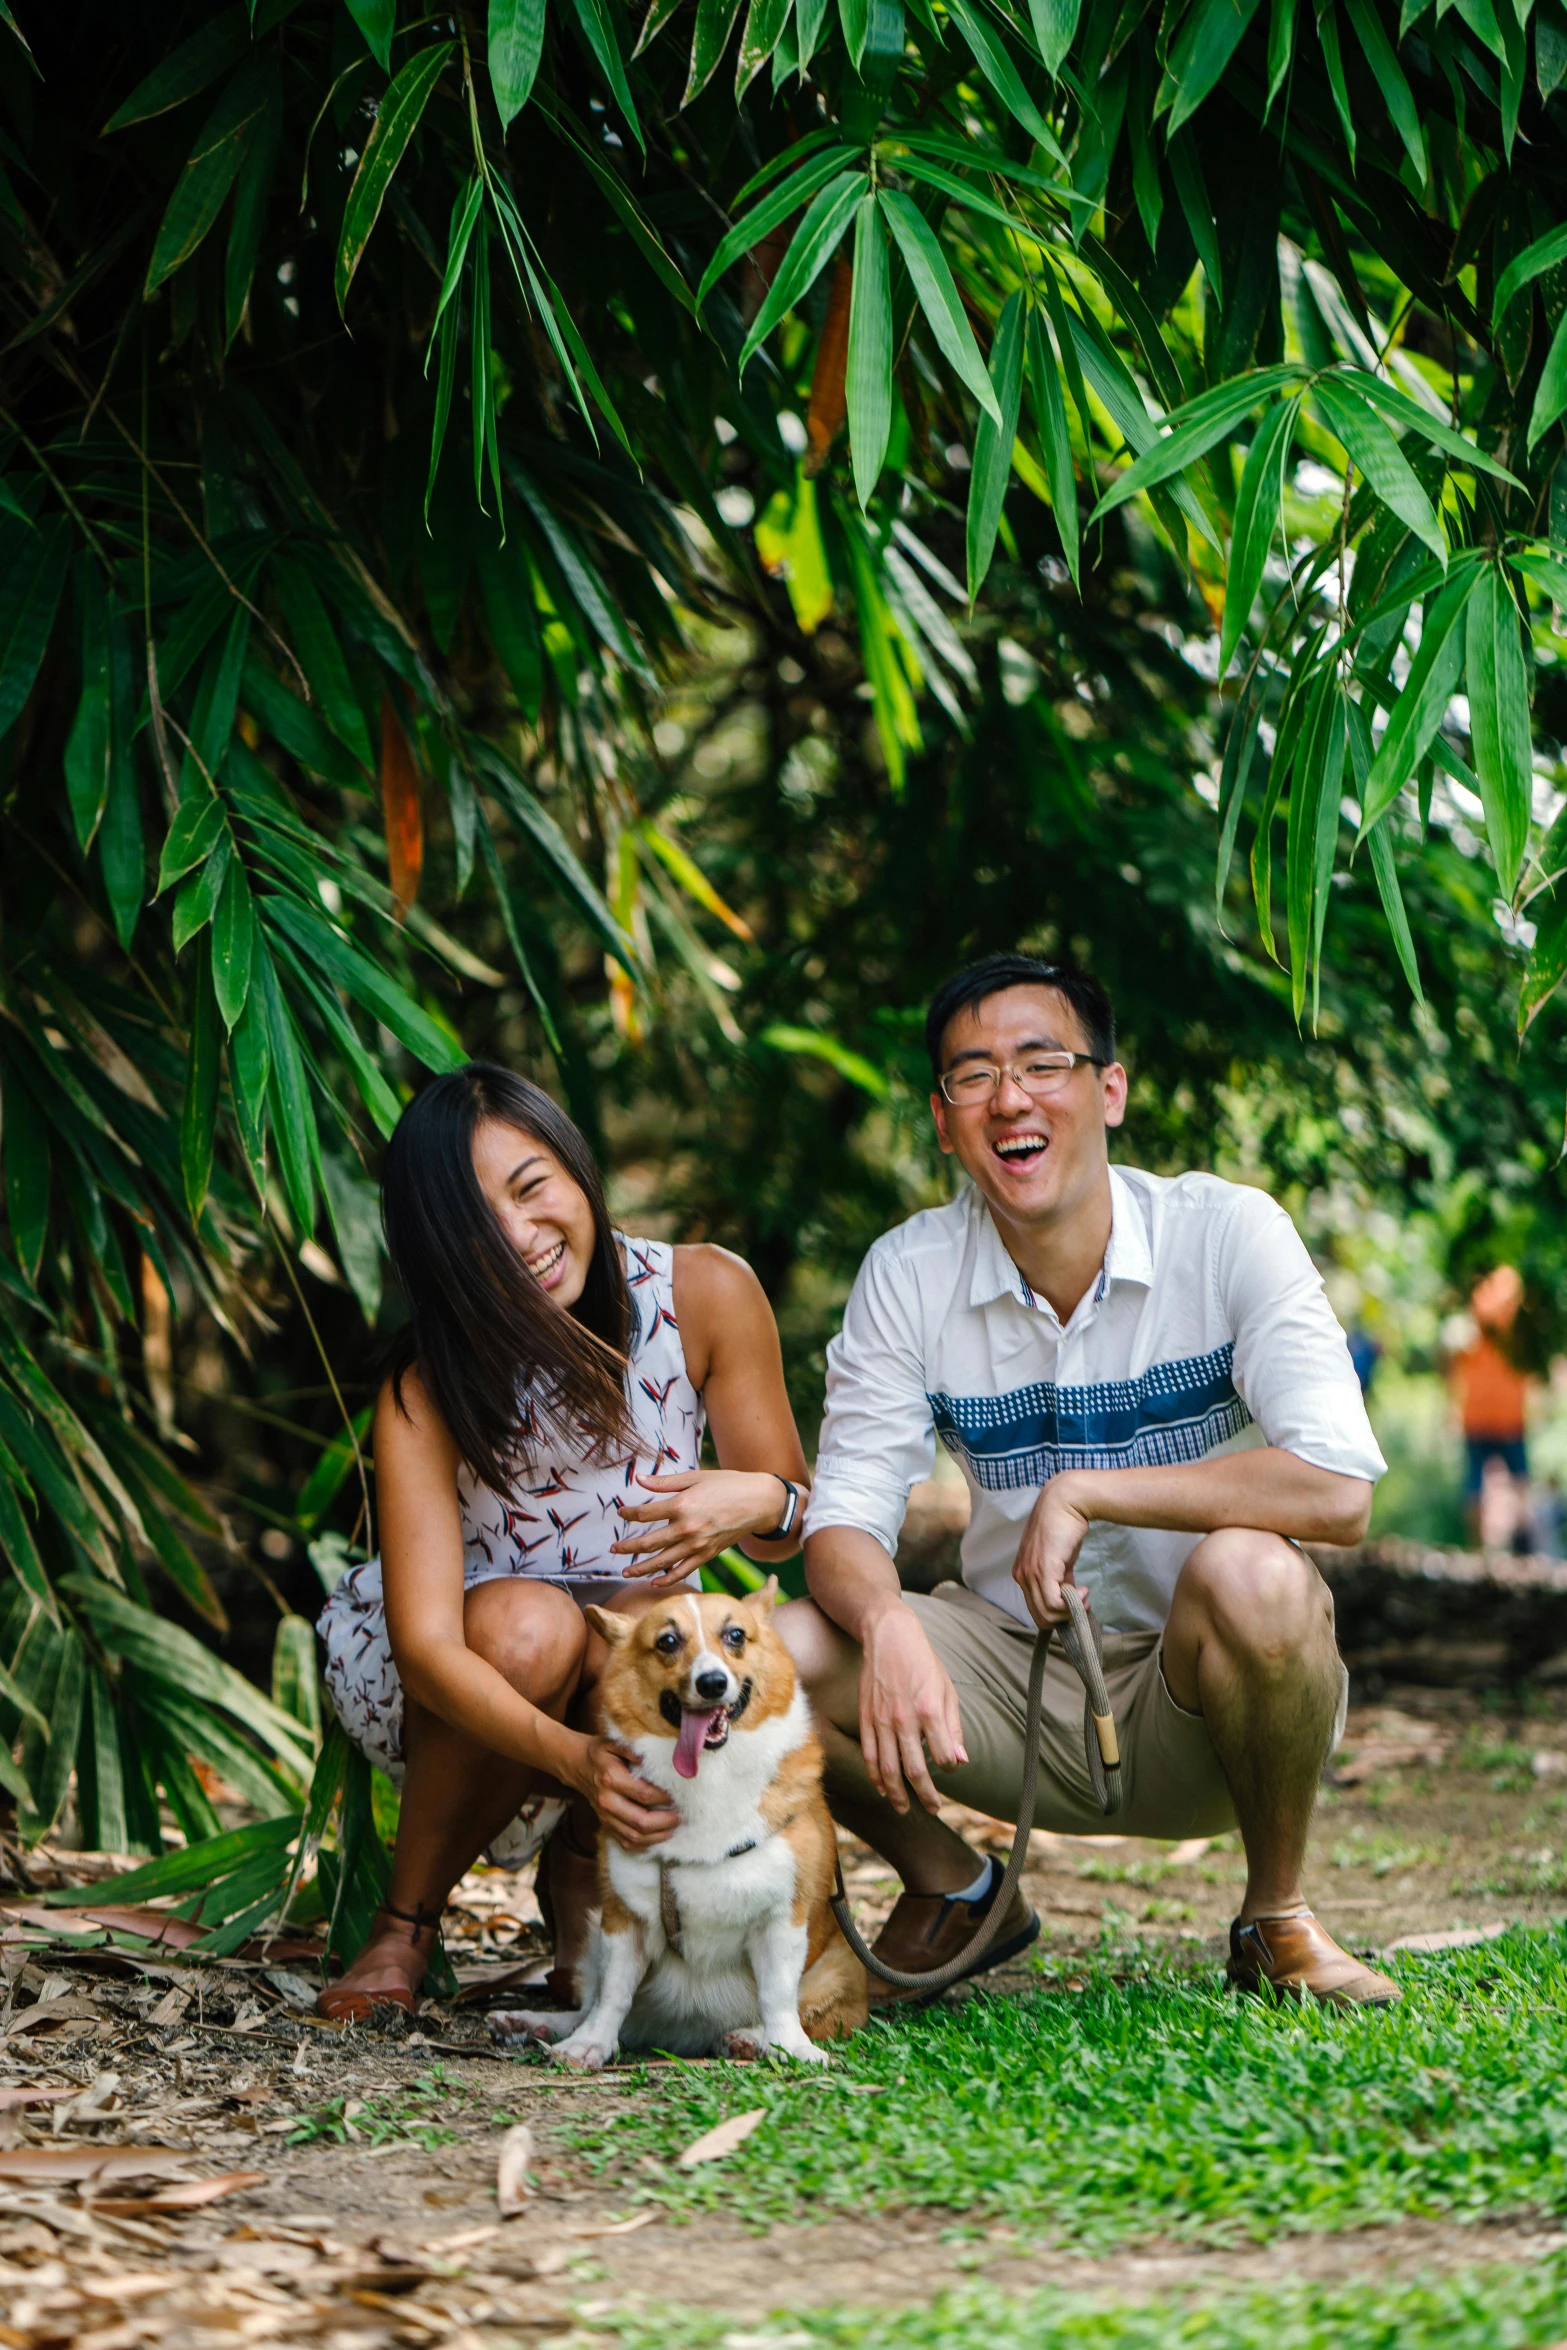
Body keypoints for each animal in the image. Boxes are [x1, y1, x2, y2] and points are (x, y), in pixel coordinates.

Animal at [491, 1588, 864, 2068]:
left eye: (736, 1635)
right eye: (667, 1641)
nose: (712, 1683)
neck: (710, 1775)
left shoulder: (782, 1918)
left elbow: (779, 1997)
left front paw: (789, 2048)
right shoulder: (623, 1917)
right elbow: (611, 1995)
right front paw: (588, 2045)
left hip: (842, 1969)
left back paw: (749, 2038)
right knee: (589, 2003)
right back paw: (531, 2022)